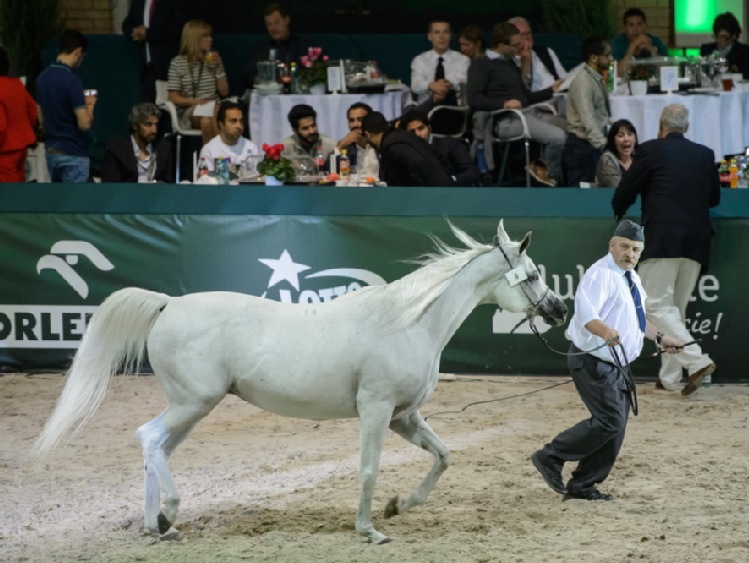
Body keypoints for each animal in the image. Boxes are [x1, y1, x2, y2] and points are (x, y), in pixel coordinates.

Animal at [32, 221, 564, 548]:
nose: (559, 309)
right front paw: (370, 530)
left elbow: (444, 457)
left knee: (155, 447)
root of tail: (170, 303)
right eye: (531, 274)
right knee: (147, 438)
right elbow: (367, 470)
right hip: (193, 403)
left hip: (191, 409)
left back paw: (157, 525)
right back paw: (167, 515)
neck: (408, 323)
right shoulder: (376, 411)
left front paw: (398, 507)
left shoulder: (404, 417)